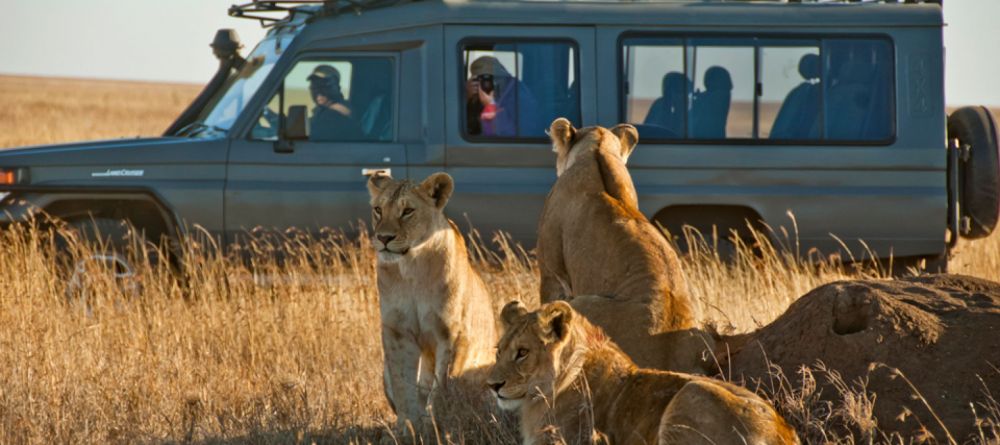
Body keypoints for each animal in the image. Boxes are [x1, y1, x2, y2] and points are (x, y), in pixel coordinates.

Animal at [367, 171, 498, 429]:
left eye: (407, 211)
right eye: (378, 209)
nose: (383, 238)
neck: (412, 267)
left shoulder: (453, 335)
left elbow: (441, 388)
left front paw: (435, 425)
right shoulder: (397, 332)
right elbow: (404, 384)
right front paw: (407, 427)